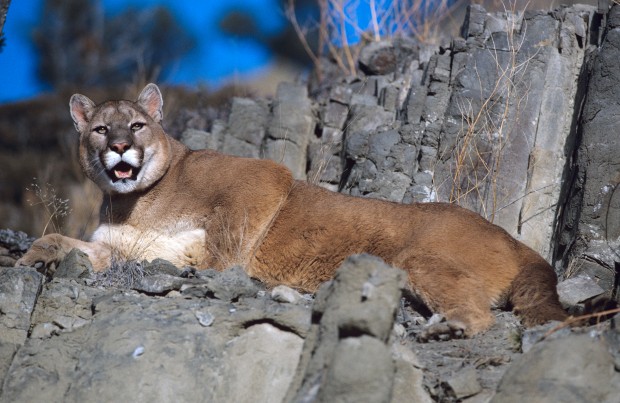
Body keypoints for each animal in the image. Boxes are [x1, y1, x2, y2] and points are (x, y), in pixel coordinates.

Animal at [15, 83, 568, 336]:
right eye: (100, 129)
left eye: (136, 125)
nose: (120, 149)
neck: (137, 203)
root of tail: (515, 241)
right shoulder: (117, 248)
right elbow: (61, 240)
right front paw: (31, 260)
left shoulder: (260, 178)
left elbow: (227, 242)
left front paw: (218, 271)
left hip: (421, 259)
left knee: (480, 314)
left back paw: (448, 327)